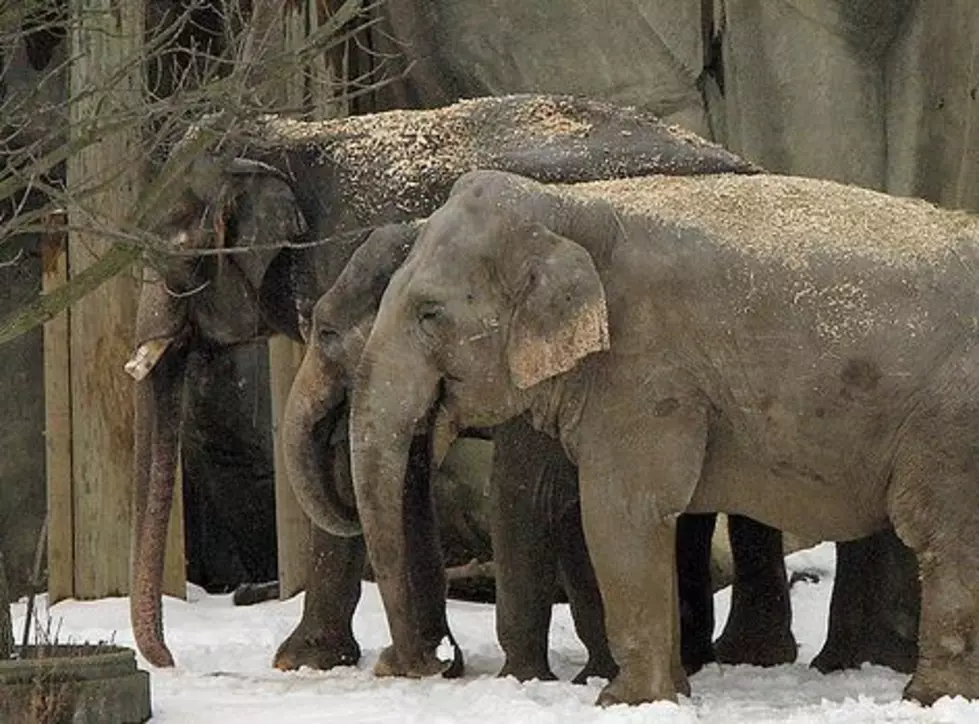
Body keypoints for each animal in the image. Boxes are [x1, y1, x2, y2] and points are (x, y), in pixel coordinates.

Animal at [128, 92, 777, 670]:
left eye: (167, 251)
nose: (168, 661)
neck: (290, 135)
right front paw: (427, 658)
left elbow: (355, 454)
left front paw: (309, 662)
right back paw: (729, 656)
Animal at [344, 168, 979, 706]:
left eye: (429, 313)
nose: (421, 663)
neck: (570, 207)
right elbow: (650, 521)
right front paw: (672, 693)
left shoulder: (642, 370)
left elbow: (622, 513)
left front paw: (625, 701)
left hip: (948, 419)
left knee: (942, 535)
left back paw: (929, 697)